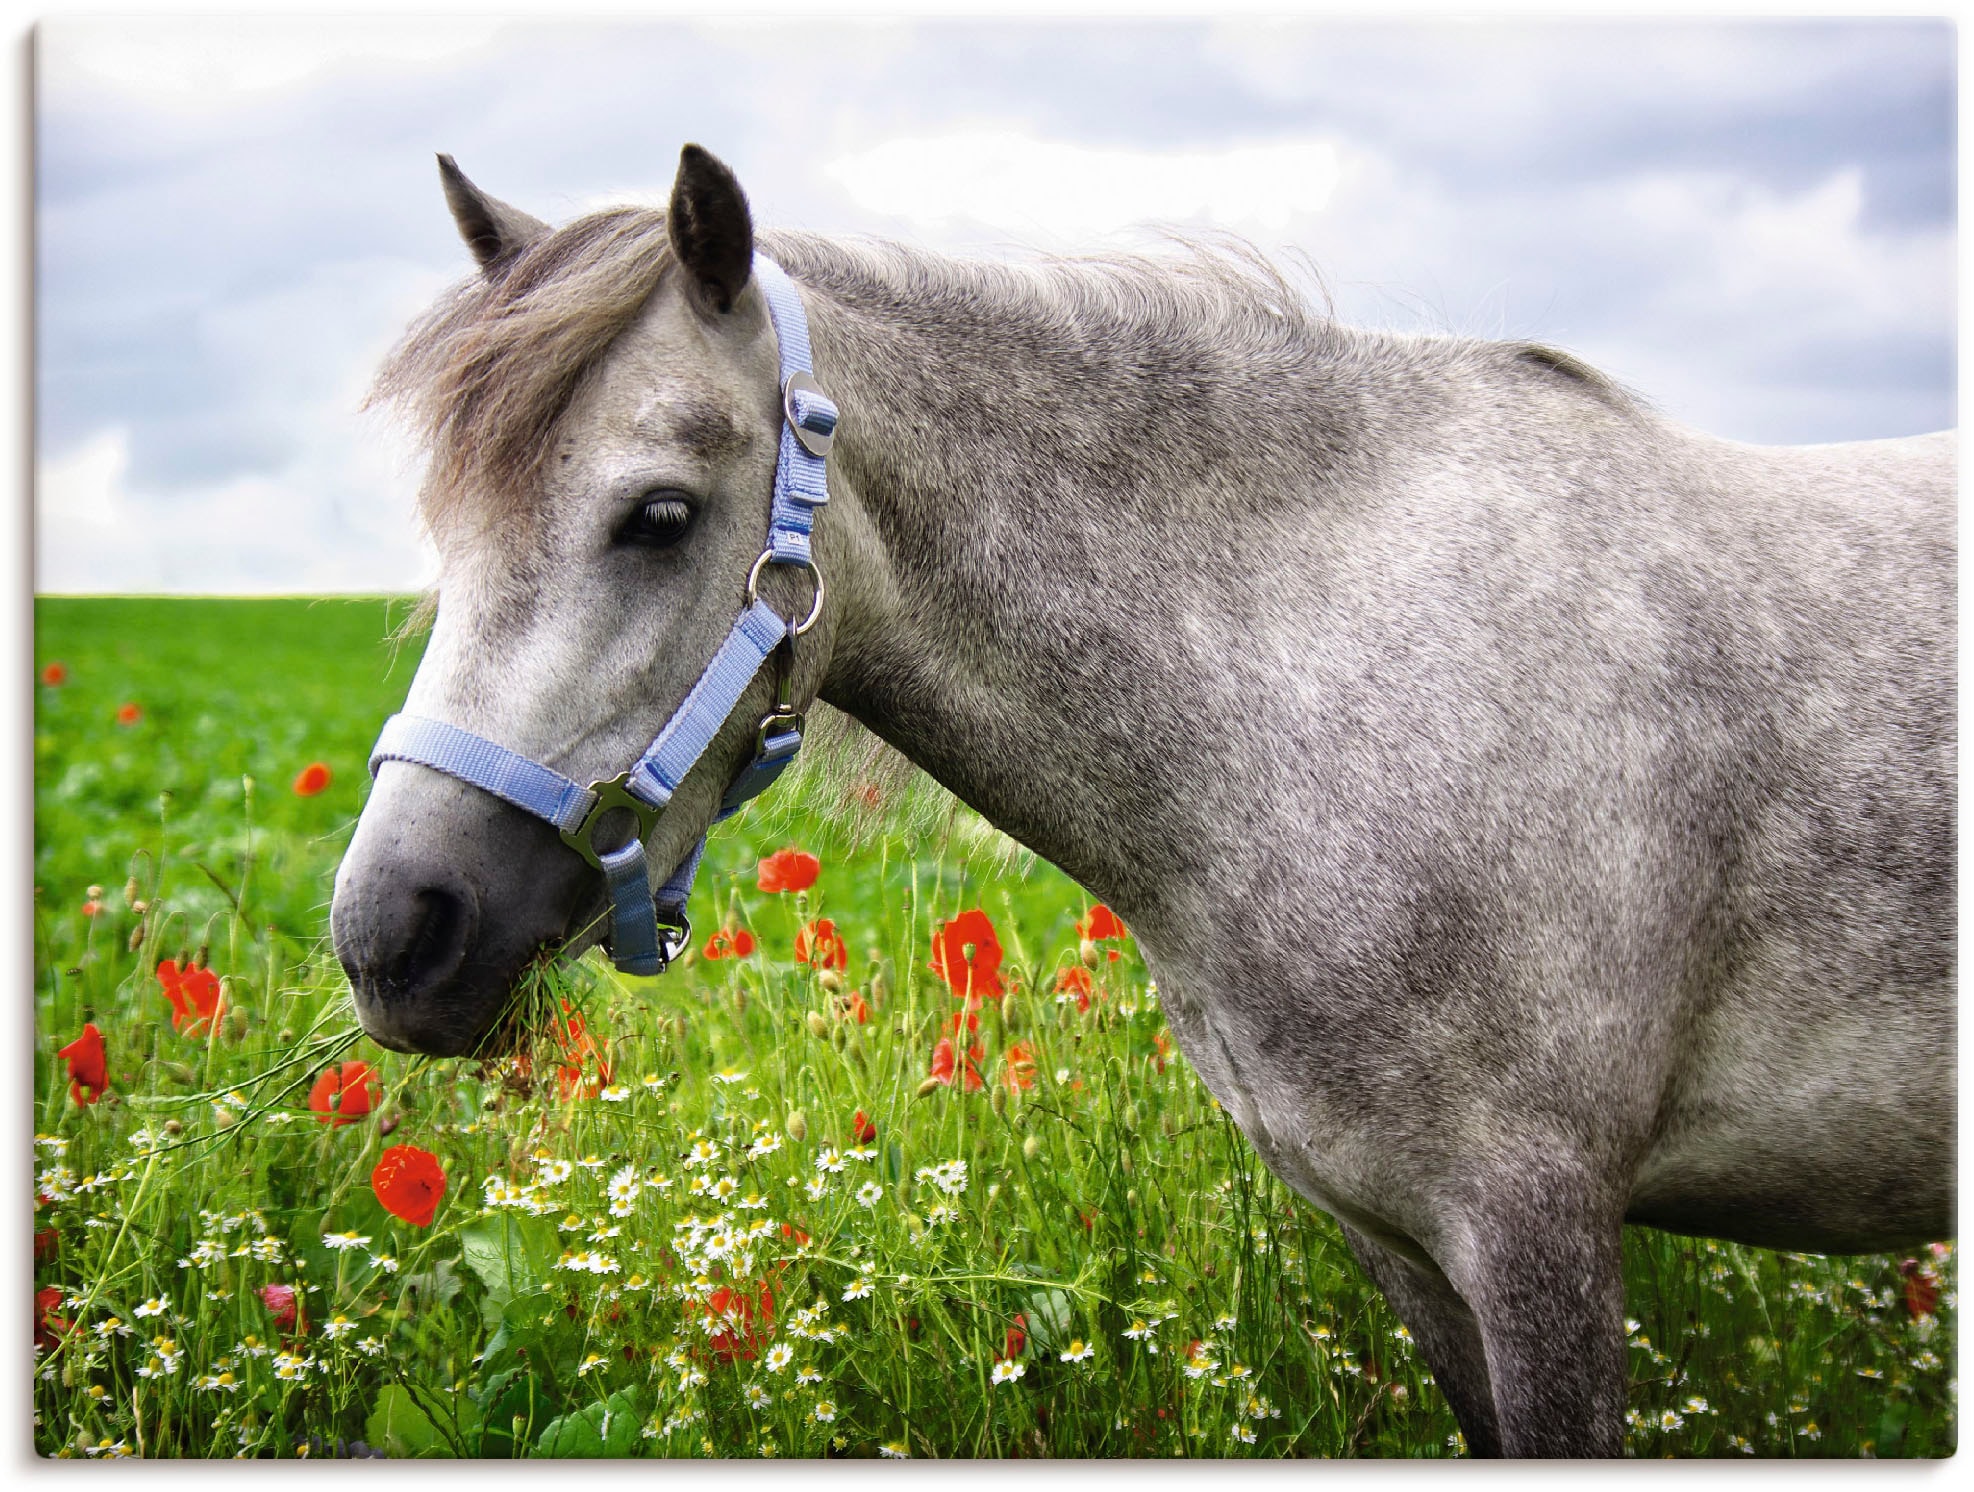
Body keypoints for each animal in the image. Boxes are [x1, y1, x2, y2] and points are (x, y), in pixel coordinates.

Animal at [331, 146, 1950, 1452]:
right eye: (446, 524)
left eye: (659, 515)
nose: (391, 936)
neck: (1318, 690)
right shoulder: (1404, 1243)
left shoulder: (1537, 1227)